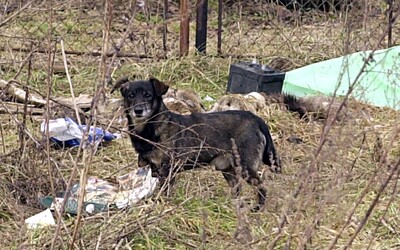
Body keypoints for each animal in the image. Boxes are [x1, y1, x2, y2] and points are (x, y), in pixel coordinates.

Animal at [112, 77, 282, 210]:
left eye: (148, 95)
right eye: (130, 96)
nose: (138, 110)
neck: (151, 129)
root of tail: (256, 119)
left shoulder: (168, 170)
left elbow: (165, 193)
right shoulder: (150, 169)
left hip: (245, 167)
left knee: (261, 186)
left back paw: (257, 209)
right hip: (227, 168)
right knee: (237, 188)